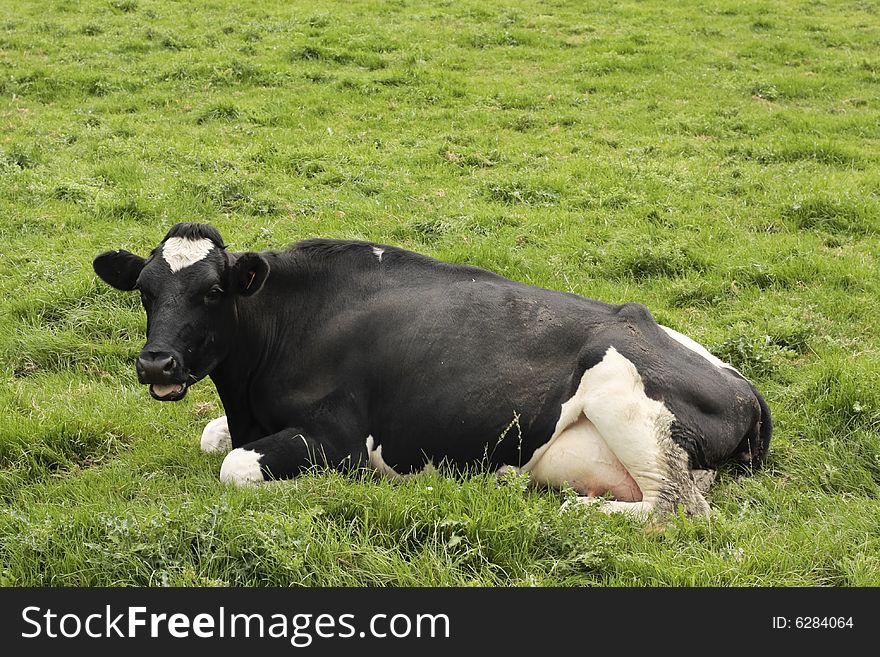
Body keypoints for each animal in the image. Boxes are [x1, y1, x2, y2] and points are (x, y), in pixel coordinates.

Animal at [93, 223, 772, 516]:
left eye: (213, 291)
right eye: (145, 292)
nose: (156, 361)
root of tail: (745, 385)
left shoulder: (340, 439)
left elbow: (233, 464)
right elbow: (214, 439)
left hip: (624, 399)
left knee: (676, 511)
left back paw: (578, 510)